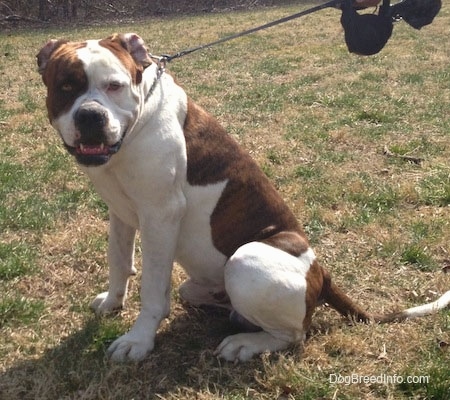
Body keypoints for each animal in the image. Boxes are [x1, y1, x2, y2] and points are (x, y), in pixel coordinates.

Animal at [37, 32, 450, 362]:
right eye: (66, 87)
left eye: (115, 86)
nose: (91, 116)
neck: (137, 124)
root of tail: (322, 272)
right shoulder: (121, 213)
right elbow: (119, 262)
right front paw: (112, 302)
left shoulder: (159, 215)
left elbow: (152, 289)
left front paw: (139, 340)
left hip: (247, 260)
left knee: (294, 334)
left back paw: (246, 343)